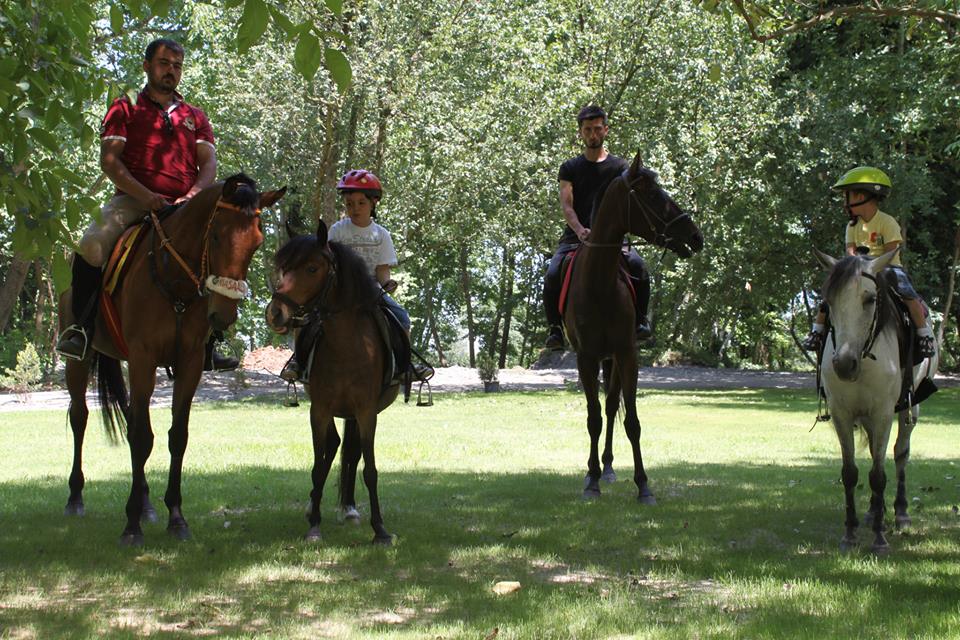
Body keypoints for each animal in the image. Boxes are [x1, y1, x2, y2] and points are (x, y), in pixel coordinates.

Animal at [59, 175, 284, 544]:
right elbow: (141, 437)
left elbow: (176, 436)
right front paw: (131, 525)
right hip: (78, 362)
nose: (224, 314)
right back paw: (76, 498)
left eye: (257, 241)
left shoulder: (189, 362)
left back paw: (146, 504)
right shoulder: (143, 357)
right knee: (80, 417)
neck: (173, 282)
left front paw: (175, 517)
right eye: (217, 235)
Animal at [264, 220, 400, 544]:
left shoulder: (366, 411)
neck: (348, 345)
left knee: (350, 449)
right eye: (284, 268)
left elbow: (370, 469)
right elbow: (318, 463)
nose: (275, 314)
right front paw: (314, 524)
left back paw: (349, 508)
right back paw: (315, 506)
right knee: (334, 446)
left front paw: (380, 530)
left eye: (312, 268)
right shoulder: (320, 409)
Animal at [564, 152, 704, 502]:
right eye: (653, 195)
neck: (599, 282)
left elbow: (632, 422)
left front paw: (643, 485)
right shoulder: (585, 358)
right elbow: (592, 419)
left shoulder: (627, 354)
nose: (696, 236)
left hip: (613, 358)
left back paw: (609, 467)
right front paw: (591, 481)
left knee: (613, 405)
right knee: (603, 411)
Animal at [812, 248, 940, 552]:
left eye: (870, 298)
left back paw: (901, 513)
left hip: (910, 408)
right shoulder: (841, 413)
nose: (843, 364)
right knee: (874, 454)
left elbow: (879, 475)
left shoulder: (883, 413)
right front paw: (850, 533)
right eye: (828, 301)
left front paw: (879, 538)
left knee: (900, 453)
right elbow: (850, 472)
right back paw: (872, 512)